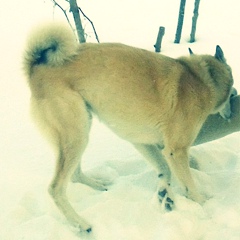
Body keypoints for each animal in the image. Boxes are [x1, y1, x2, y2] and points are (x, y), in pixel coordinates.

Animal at [23, 23, 234, 232]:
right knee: (56, 188)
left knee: (74, 175)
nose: (231, 114)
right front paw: (204, 205)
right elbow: (190, 186)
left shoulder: (141, 142)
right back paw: (82, 225)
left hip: (81, 129)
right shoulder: (176, 151)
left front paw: (164, 195)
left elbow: (164, 169)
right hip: (77, 135)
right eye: (233, 94)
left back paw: (99, 186)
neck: (202, 80)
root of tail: (36, 65)